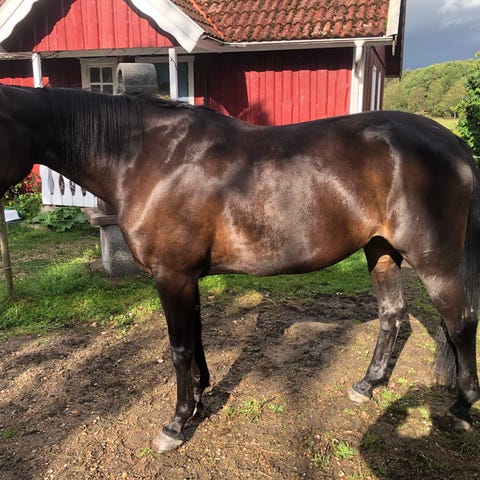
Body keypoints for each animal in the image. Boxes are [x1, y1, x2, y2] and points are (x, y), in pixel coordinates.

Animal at [0, 84, 478, 452]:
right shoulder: (186, 277)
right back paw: (368, 384)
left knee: (460, 322)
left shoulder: (171, 275)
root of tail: (454, 144)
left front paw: (176, 424)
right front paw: (199, 399)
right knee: (392, 315)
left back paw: (461, 407)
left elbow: (179, 347)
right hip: (380, 250)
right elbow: (195, 339)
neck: (148, 158)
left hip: (434, 260)